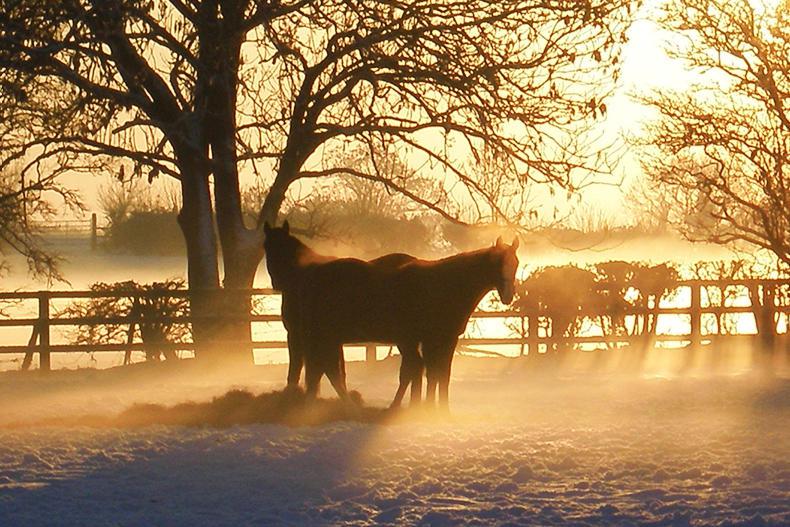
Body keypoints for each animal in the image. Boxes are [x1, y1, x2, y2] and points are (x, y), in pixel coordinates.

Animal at [263, 221, 519, 410]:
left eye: (515, 263)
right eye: (499, 263)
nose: (508, 295)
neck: (442, 284)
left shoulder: (444, 340)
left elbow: (439, 375)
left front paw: (439, 411)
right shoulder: (428, 340)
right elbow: (427, 373)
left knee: (326, 370)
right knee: (324, 370)